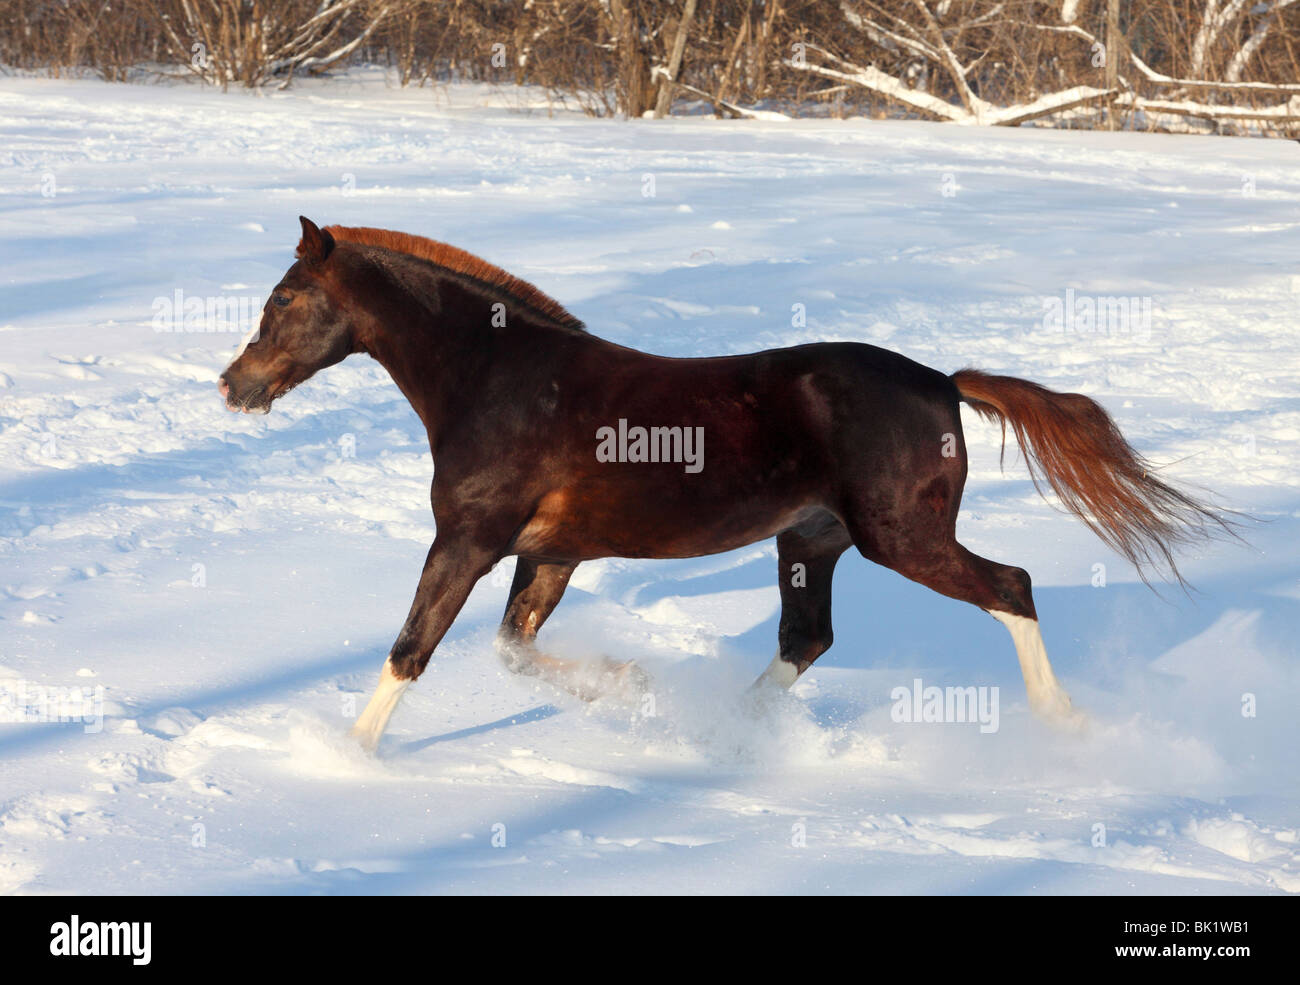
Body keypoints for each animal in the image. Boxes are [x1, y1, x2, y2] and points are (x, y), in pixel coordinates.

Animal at [218, 218, 1222, 753]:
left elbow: (411, 648)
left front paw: (343, 760)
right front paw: (627, 686)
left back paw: (1063, 724)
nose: (234, 384)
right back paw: (722, 734)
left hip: (903, 538)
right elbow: (512, 650)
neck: (497, 378)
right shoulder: (551, 553)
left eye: (284, 299)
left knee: (1010, 587)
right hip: (811, 538)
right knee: (806, 640)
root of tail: (943, 381)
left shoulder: (469, 540)